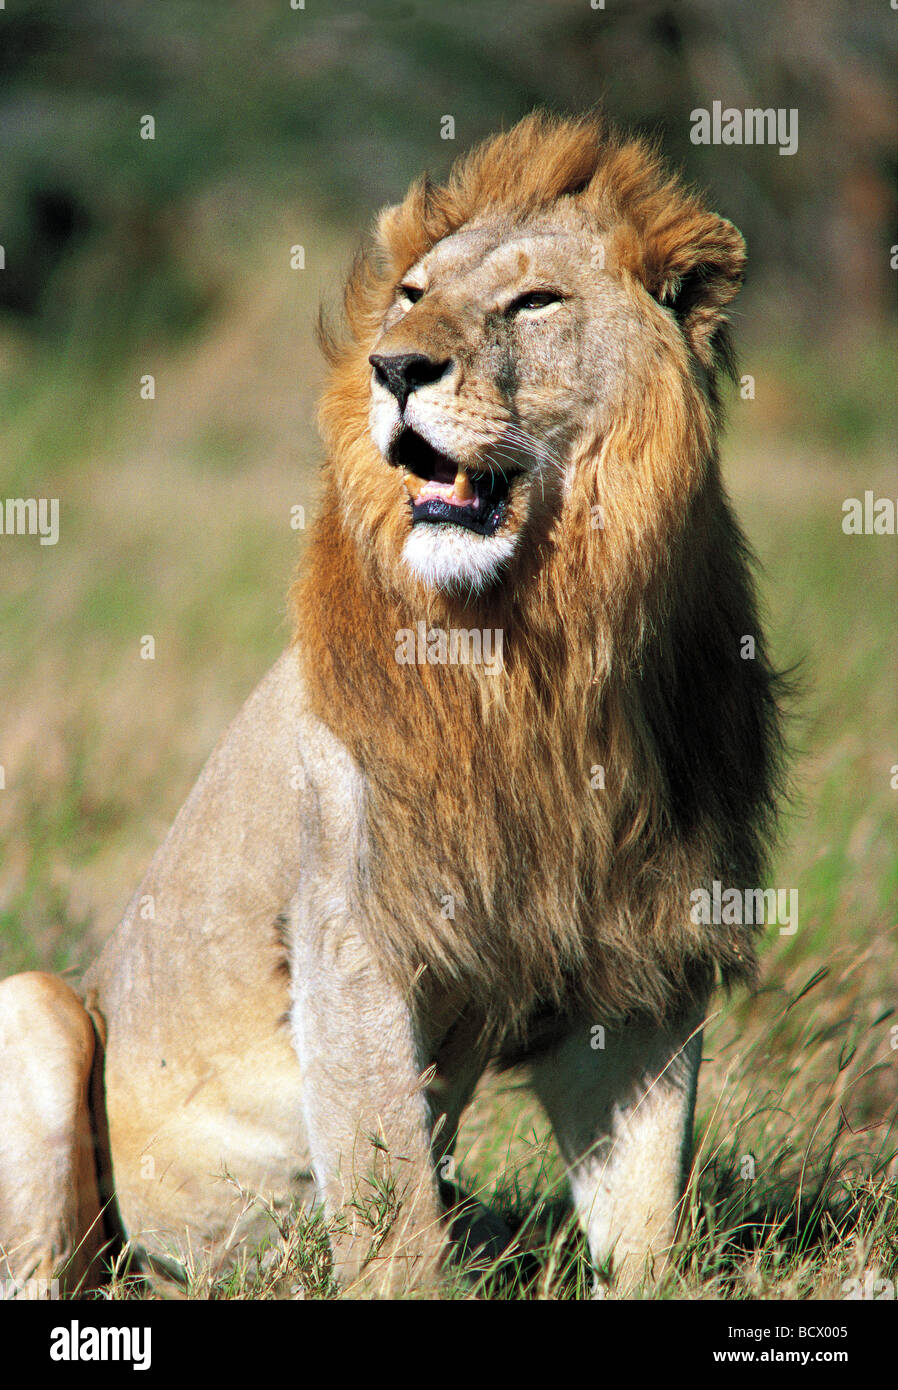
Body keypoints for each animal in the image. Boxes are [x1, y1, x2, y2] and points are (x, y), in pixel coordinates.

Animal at [0, 113, 789, 1295]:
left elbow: (645, 1208)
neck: (541, 649)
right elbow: (392, 1214)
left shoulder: (640, 965)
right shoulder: (352, 940)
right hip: (39, 1012)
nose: (397, 366)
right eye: (411, 295)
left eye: (534, 302)